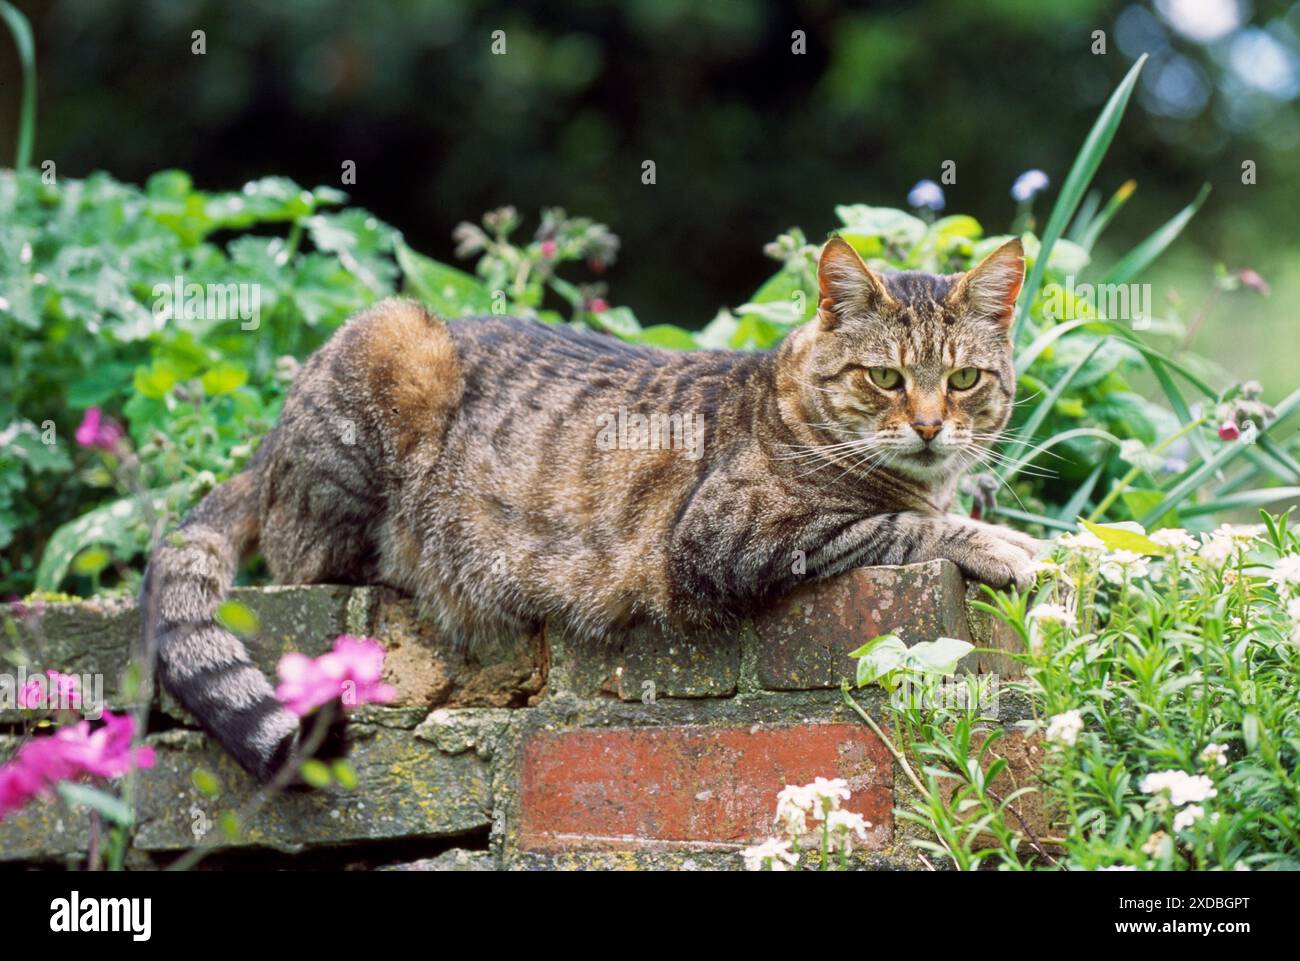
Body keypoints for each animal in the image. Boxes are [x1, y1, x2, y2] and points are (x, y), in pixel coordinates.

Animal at [142, 236, 1034, 780]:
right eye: (884, 377)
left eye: (963, 380)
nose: (930, 426)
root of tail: (266, 444)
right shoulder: (727, 535)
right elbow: (901, 524)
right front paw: (1004, 542)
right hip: (392, 345)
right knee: (307, 553)